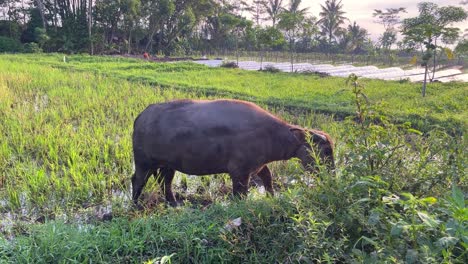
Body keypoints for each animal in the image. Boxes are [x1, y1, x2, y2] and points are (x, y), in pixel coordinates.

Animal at [132, 99, 334, 206]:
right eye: (325, 151)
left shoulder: (257, 166)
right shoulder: (240, 172)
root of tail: (141, 117)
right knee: (137, 180)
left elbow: (268, 178)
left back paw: (174, 204)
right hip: (143, 162)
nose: (331, 175)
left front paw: (271, 196)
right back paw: (134, 205)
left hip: (167, 165)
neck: (269, 134)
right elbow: (240, 193)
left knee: (164, 182)